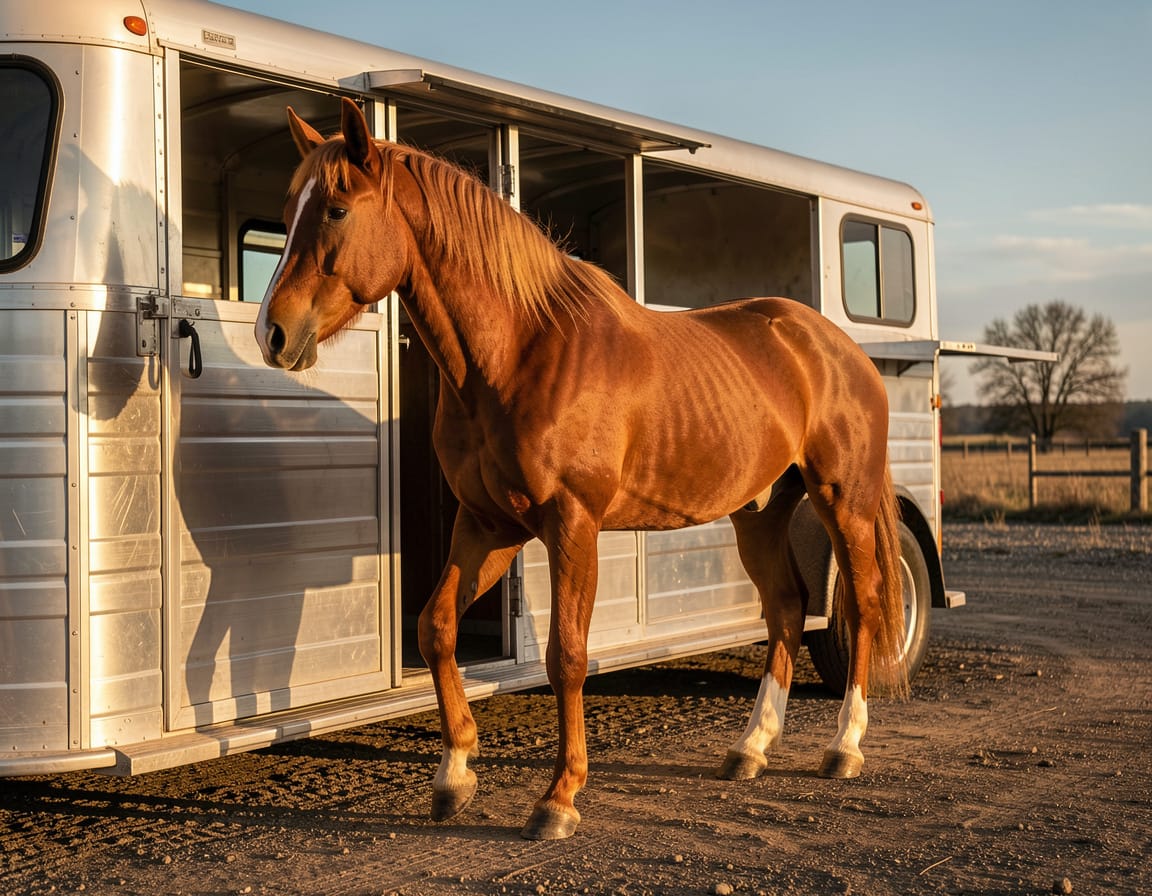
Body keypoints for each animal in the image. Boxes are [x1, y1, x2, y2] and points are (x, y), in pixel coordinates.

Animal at [255, 97, 908, 841]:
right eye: (288, 208)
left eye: (336, 209)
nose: (273, 332)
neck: (520, 351)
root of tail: (838, 348)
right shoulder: (487, 525)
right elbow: (435, 628)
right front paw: (455, 775)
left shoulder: (573, 524)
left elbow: (567, 655)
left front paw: (559, 798)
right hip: (760, 512)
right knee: (787, 610)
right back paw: (750, 748)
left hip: (841, 498)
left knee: (861, 602)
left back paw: (844, 745)